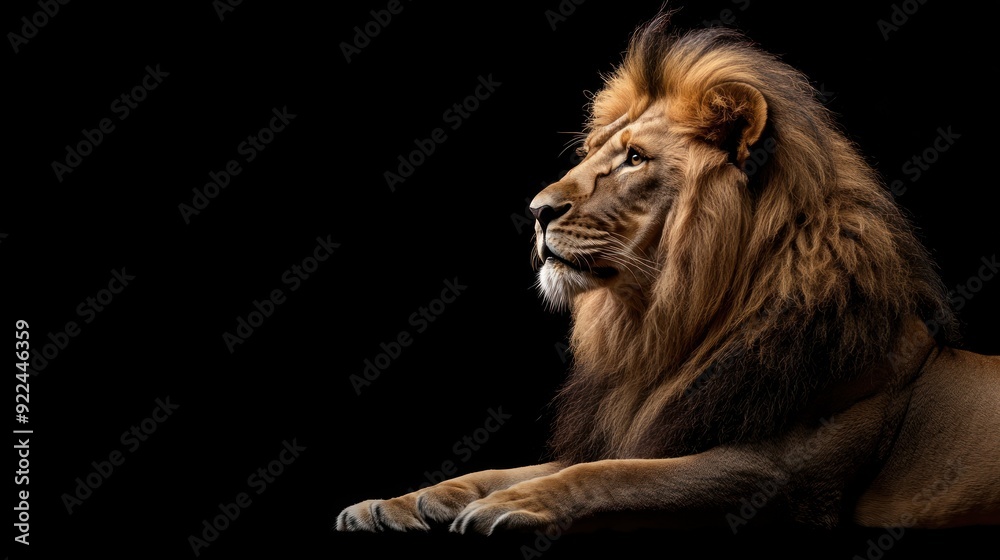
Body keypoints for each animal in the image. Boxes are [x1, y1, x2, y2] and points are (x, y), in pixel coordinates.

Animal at [337, 13, 1000, 535]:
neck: (667, 327)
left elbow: (612, 475)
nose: (536, 211)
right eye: (595, 153)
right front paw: (398, 502)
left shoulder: (782, 475)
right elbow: (508, 468)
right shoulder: (650, 427)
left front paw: (516, 504)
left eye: (635, 159)